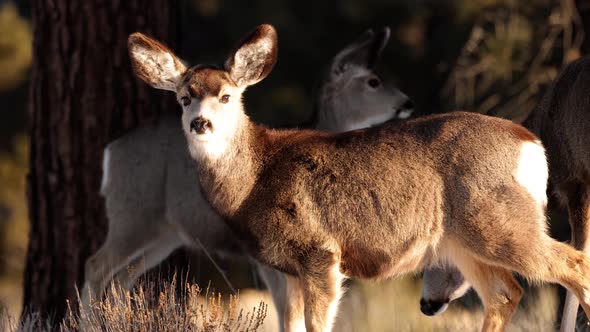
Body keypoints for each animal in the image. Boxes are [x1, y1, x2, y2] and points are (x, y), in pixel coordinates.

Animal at [82, 26, 416, 330]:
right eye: (373, 81)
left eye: (226, 96)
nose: (408, 102)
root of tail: (111, 151)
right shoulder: (265, 256)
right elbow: (285, 310)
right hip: (133, 214)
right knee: (95, 266)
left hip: (164, 233)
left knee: (121, 278)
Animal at [128, 24, 590, 332]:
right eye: (183, 98)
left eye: (226, 96)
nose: (200, 123)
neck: (256, 177)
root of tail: (531, 144)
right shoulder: (285, 268)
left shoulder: (320, 251)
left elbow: (317, 325)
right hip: (463, 241)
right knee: (506, 293)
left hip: (500, 222)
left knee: (574, 265)